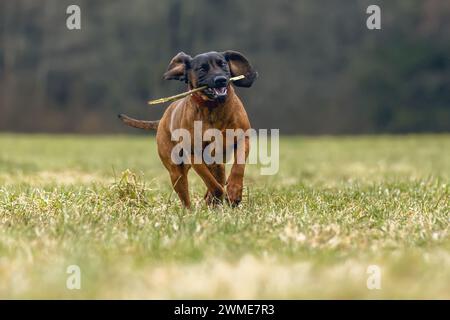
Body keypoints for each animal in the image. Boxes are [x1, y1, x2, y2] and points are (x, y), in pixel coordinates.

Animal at [118, 50, 256, 208]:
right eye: (202, 69)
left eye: (223, 64)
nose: (221, 79)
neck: (213, 107)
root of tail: (163, 119)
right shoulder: (194, 153)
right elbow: (211, 182)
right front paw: (216, 196)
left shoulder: (242, 138)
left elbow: (238, 167)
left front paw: (234, 191)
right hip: (176, 172)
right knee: (186, 196)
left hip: (216, 162)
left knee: (219, 175)